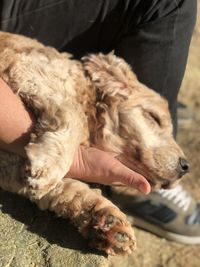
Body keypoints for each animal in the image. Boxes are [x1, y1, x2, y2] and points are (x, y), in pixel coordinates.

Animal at [0, 32, 189, 256]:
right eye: (154, 117)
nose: (186, 166)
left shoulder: (11, 170)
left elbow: (69, 189)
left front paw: (109, 222)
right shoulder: (29, 69)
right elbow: (75, 114)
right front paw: (49, 165)